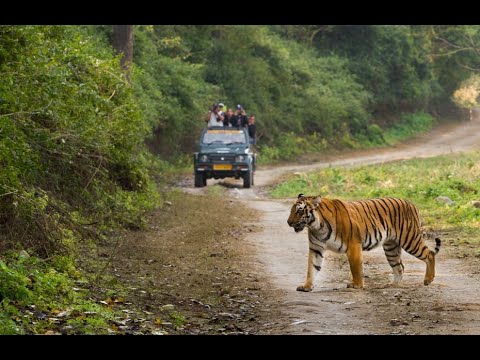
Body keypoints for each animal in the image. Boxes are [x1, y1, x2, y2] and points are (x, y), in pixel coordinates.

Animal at [286, 193, 440, 292]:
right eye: (292, 210)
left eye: (299, 211)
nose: (288, 222)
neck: (316, 226)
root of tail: (412, 203)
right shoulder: (316, 249)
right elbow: (312, 268)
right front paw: (307, 286)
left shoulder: (353, 244)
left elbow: (355, 267)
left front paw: (357, 285)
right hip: (391, 247)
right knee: (399, 267)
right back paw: (391, 285)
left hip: (410, 239)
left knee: (429, 254)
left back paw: (428, 280)